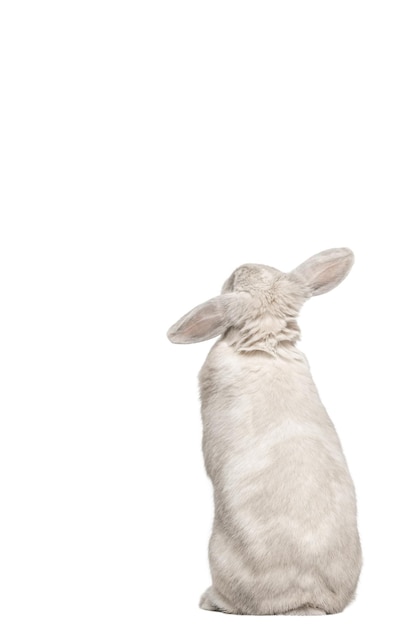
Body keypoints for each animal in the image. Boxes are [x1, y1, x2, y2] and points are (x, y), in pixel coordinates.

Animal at [166, 247, 360, 616]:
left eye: (234, 279)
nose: (241, 265)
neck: (266, 341)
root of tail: (304, 603)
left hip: (218, 558)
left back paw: (207, 600)